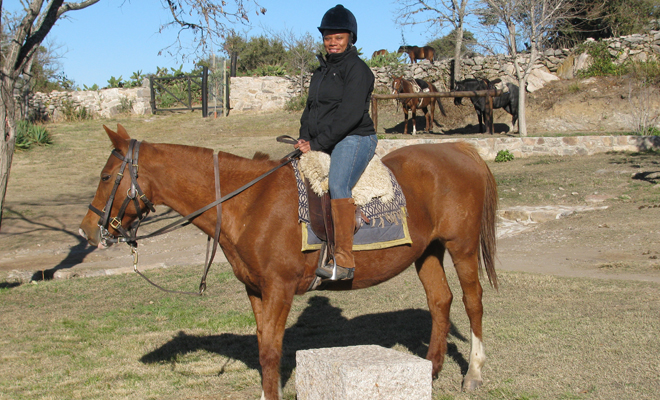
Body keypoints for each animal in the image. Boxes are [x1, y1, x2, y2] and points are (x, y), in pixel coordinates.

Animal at [79, 124, 498, 400]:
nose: (87, 231)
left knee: (473, 302)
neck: (249, 202)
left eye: (106, 176)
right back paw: (431, 369)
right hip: (427, 251)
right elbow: (265, 347)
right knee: (440, 301)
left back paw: (473, 373)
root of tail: (460, 149)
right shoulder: (256, 291)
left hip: (461, 248)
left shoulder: (279, 289)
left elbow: (270, 351)